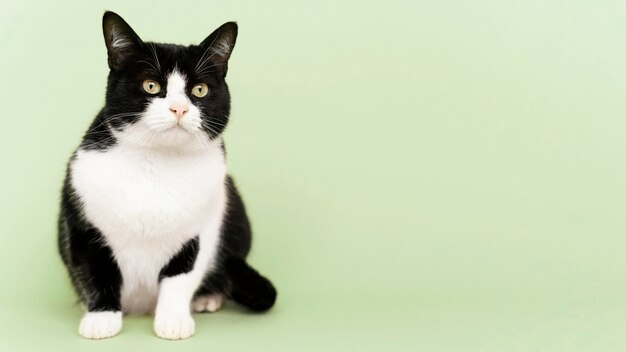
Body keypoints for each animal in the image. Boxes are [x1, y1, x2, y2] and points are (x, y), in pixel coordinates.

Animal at [57, 11, 276, 340]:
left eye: (199, 90)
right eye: (150, 85)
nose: (179, 108)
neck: (158, 163)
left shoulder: (199, 229)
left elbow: (180, 277)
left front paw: (173, 320)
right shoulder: (83, 219)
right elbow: (95, 270)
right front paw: (101, 317)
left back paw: (207, 297)